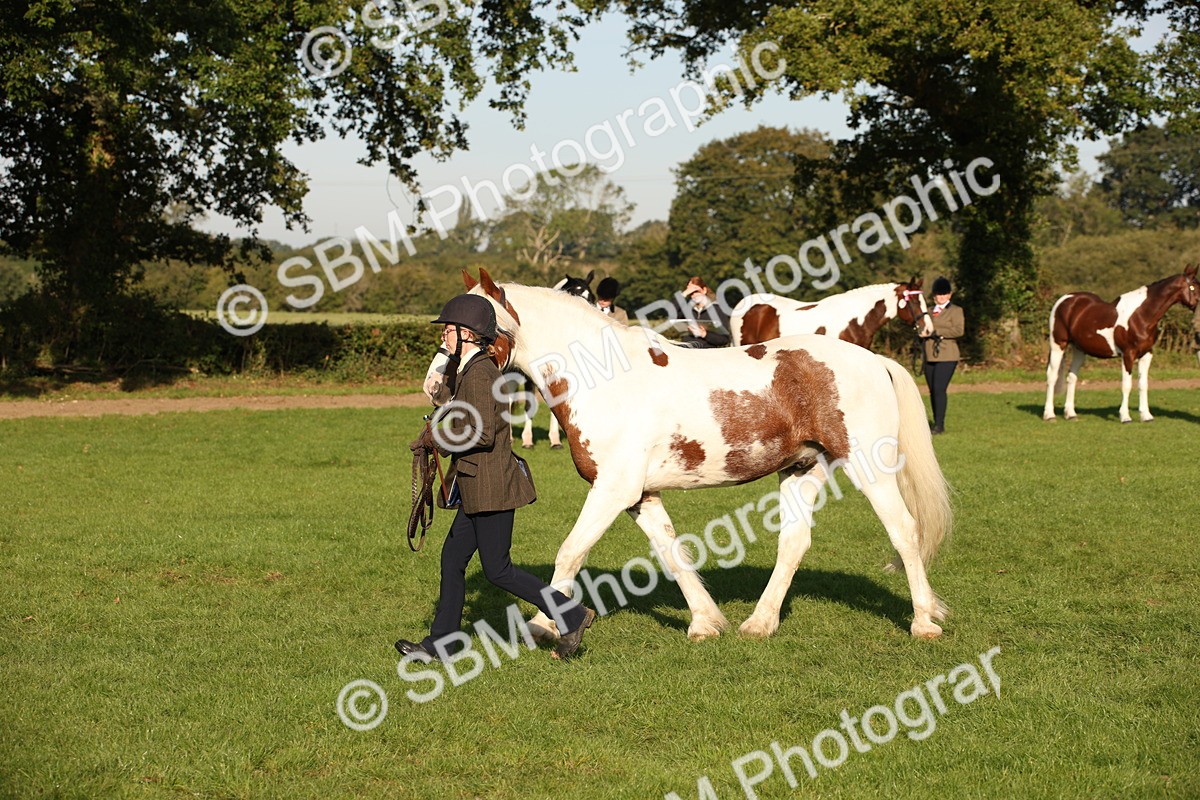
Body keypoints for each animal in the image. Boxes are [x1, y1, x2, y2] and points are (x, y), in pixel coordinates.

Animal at [1043, 265, 1199, 423]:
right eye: (1193, 287)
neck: (1141, 315)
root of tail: (1064, 300)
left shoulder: (1146, 354)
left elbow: (1143, 384)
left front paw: (1146, 416)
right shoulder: (1128, 354)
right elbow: (1127, 385)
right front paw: (1125, 417)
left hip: (1079, 349)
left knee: (1072, 377)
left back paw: (1071, 414)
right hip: (1058, 345)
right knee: (1052, 376)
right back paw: (1049, 415)